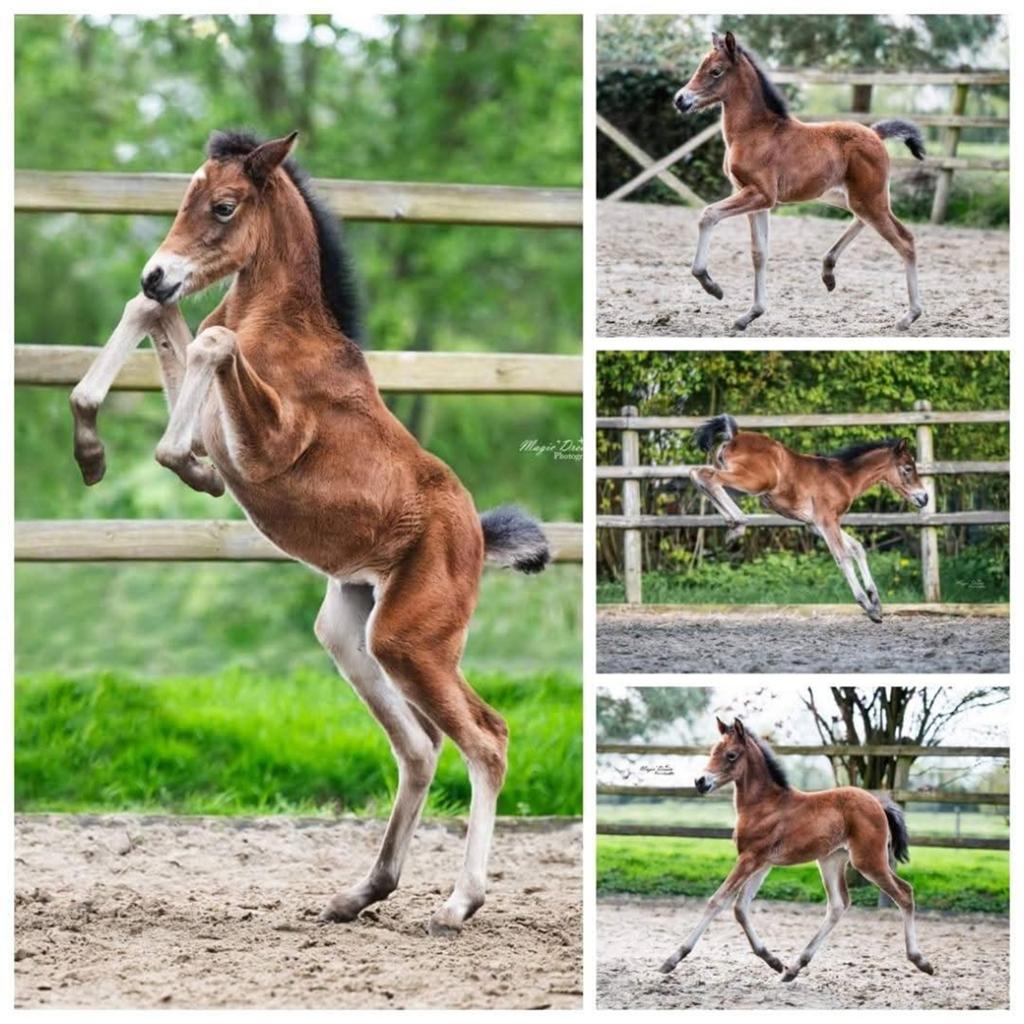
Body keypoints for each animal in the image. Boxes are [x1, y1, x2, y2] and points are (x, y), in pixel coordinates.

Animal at [68, 130, 552, 937]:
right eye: (186, 197)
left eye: (224, 206)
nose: (159, 271)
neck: (279, 324)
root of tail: (479, 537)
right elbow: (158, 323)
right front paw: (94, 448)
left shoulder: (271, 442)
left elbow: (211, 344)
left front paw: (186, 465)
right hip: (351, 630)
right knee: (419, 748)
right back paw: (362, 892)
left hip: (413, 641)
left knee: (486, 740)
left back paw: (457, 903)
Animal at [659, 717, 934, 982]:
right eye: (713, 751)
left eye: (731, 755)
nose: (700, 782)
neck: (764, 805)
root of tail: (879, 803)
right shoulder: (762, 862)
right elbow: (740, 908)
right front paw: (772, 960)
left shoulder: (749, 858)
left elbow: (716, 901)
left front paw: (673, 959)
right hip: (831, 861)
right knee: (838, 905)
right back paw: (794, 968)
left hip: (868, 861)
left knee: (904, 893)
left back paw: (921, 961)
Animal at [674, 31, 926, 332]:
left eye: (715, 71)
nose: (680, 100)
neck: (755, 131)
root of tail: (875, 134)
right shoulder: (756, 200)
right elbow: (759, 253)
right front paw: (750, 314)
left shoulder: (760, 194)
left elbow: (708, 214)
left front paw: (711, 285)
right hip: (848, 197)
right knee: (866, 221)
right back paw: (828, 271)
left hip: (869, 199)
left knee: (905, 240)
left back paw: (909, 316)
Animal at [690, 414, 928, 622]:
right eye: (908, 468)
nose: (924, 498)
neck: (843, 477)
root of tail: (736, 435)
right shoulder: (827, 520)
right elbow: (843, 556)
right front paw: (867, 606)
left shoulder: (815, 524)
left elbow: (857, 548)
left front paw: (876, 602)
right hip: (756, 481)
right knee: (705, 475)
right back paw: (739, 524)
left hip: (743, 481)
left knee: (699, 475)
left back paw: (734, 525)